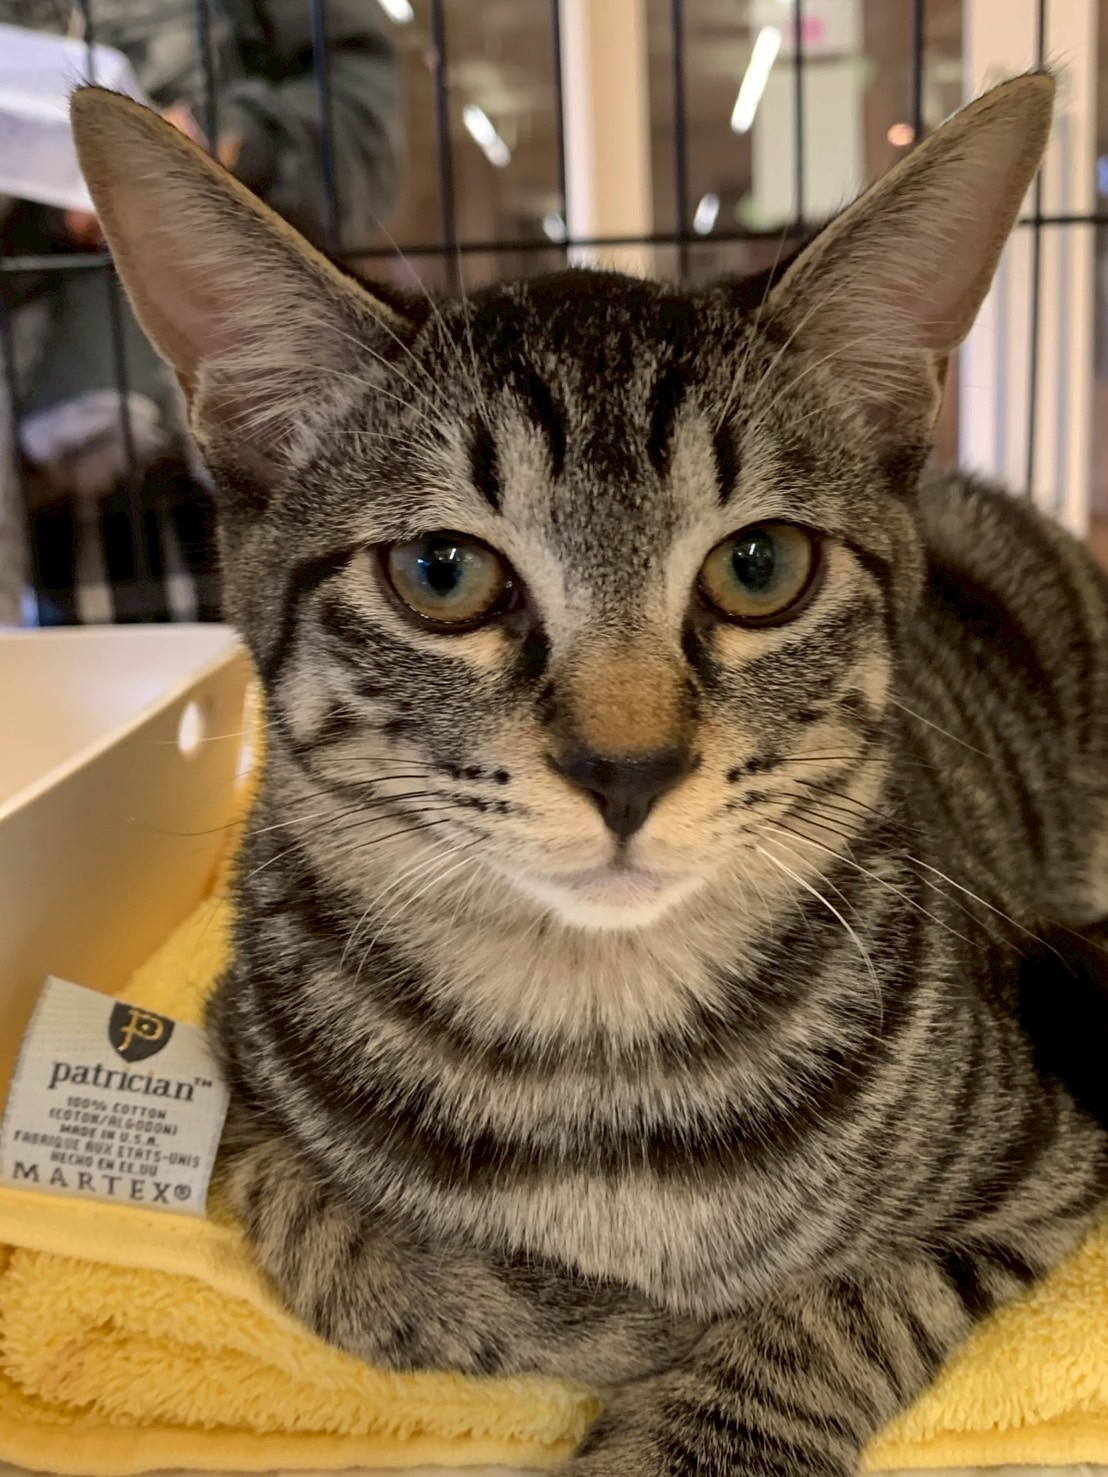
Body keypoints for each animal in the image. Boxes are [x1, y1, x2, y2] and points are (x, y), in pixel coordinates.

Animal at [72, 72, 1108, 1477]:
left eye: (760, 567)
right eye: (442, 572)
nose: (629, 767)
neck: (594, 1048)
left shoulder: (1042, 1160)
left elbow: (845, 1299)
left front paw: (688, 1418)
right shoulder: (228, 1078)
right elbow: (334, 1235)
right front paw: (539, 1304)